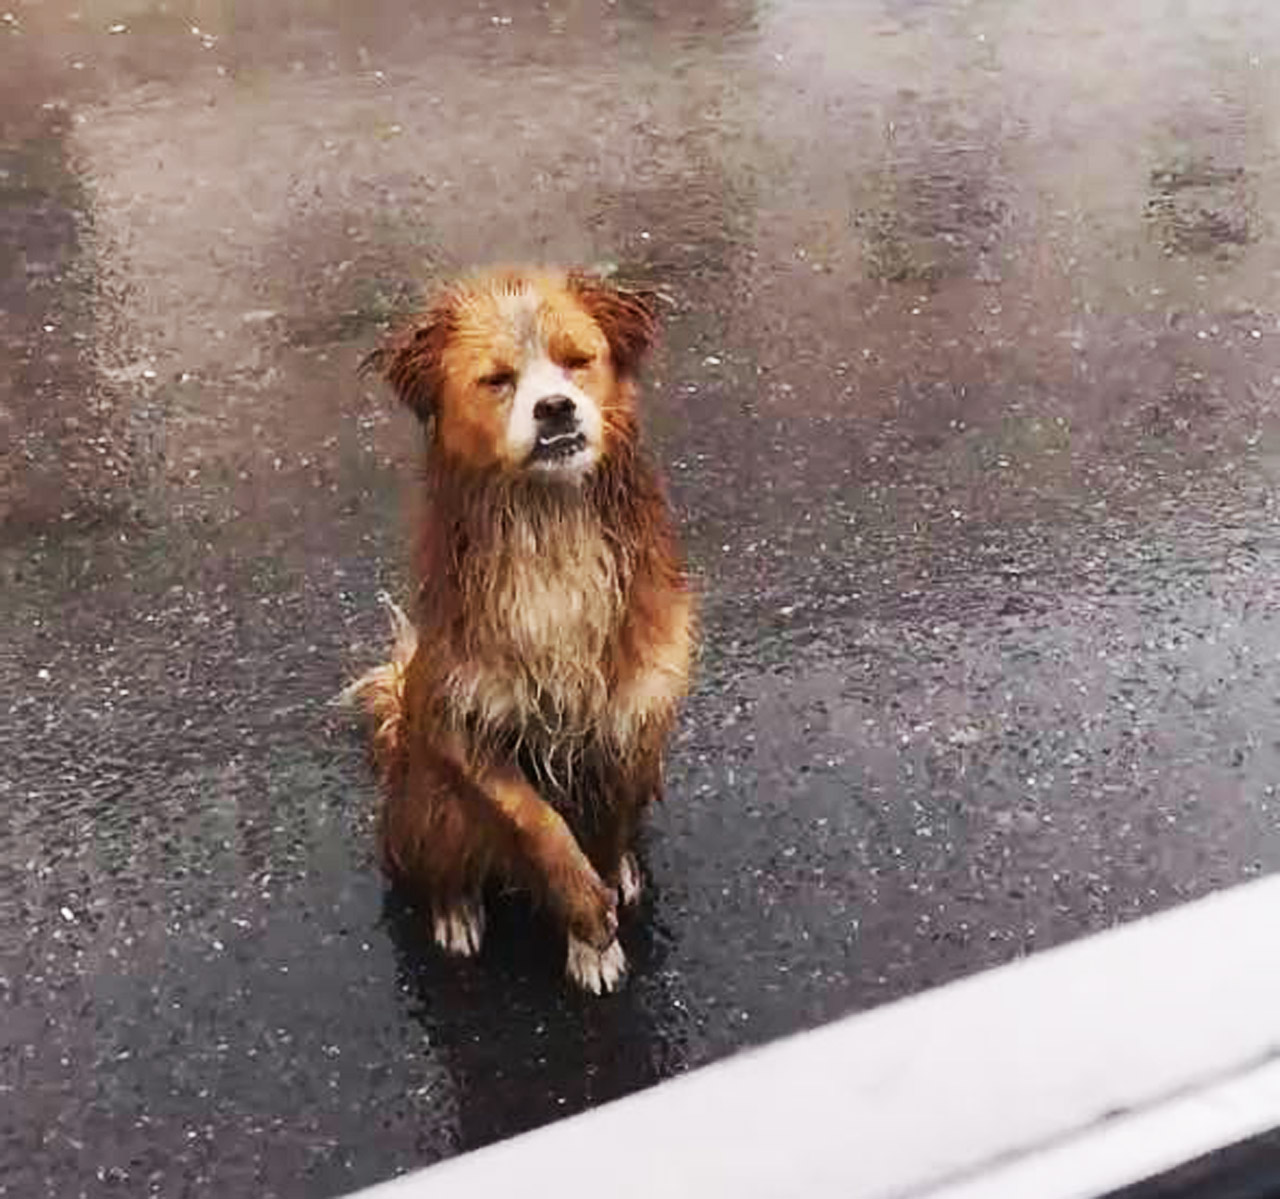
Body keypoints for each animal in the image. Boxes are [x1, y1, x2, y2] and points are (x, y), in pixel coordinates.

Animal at [345, 268, 696, 992]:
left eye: (577, 360)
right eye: (498, 379)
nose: (555, 408)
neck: (548, 521)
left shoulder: (634, 716)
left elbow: (606, 827)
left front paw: (602, 910)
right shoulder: (463, 717)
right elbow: (536, 824)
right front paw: (587, 916)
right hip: (429, 801)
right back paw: (455, 912)